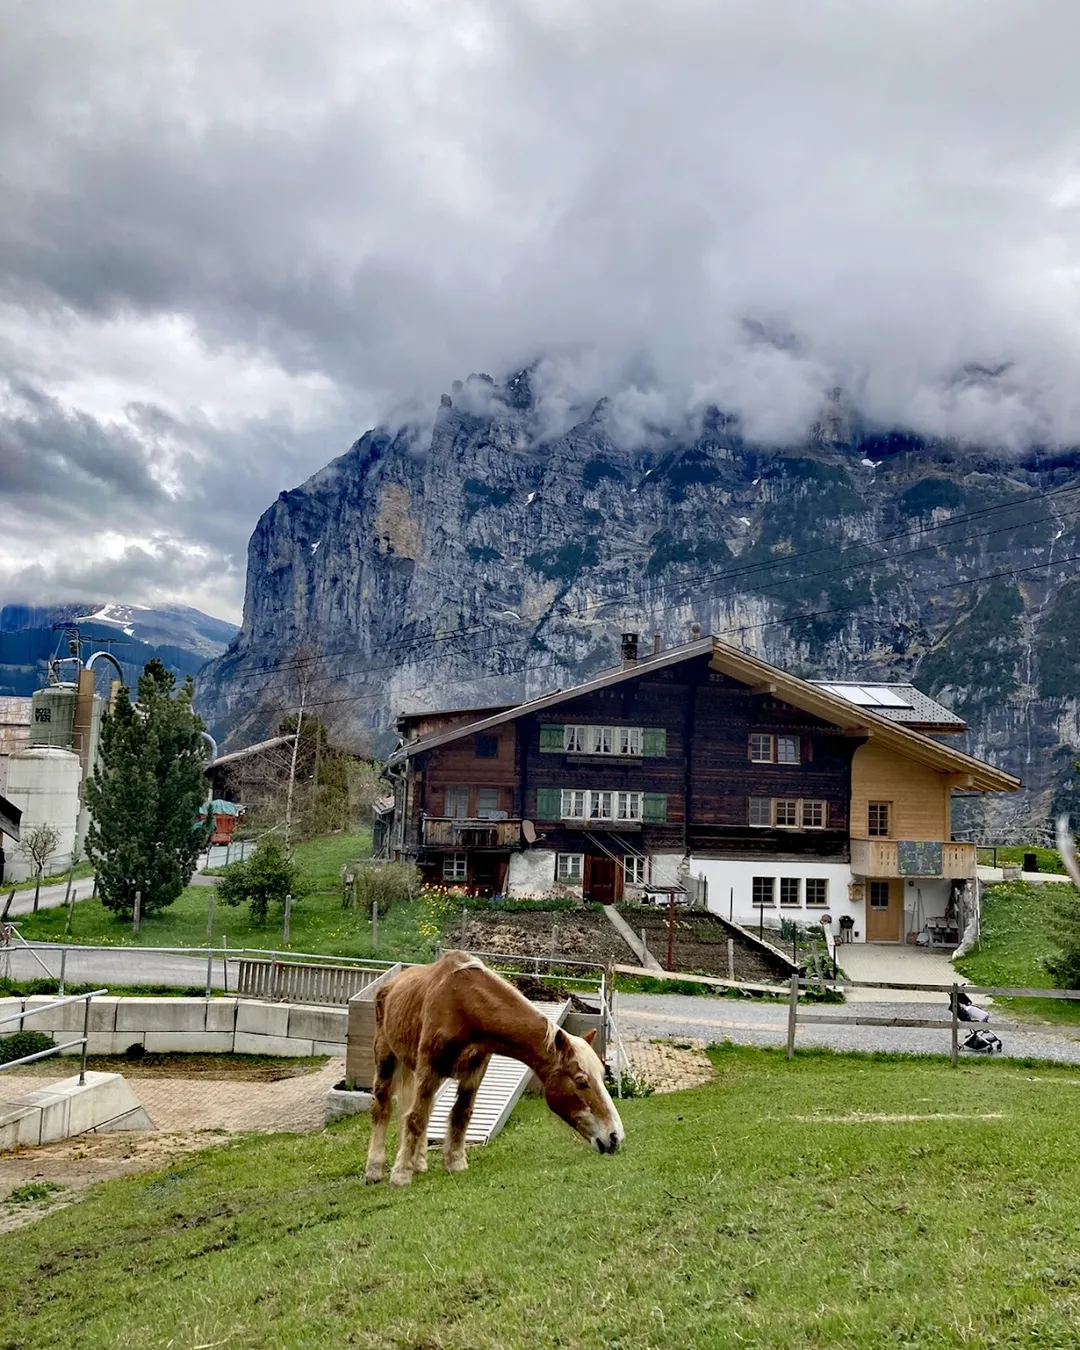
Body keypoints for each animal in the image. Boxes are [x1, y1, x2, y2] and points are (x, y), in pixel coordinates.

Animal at [364, 945, 623, 1188]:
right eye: (581, 1081)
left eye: (601, 1076)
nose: (615, 1137)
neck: (464, 1005)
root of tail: (391, 985)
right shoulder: (430, 1068)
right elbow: (415, 1118)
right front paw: (400, 1175)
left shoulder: (474, 1072)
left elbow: (460, 1114)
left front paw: (455, 1163)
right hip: (386, 1058)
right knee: (383, 1107)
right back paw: (374, 1170)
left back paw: (418, 1163)